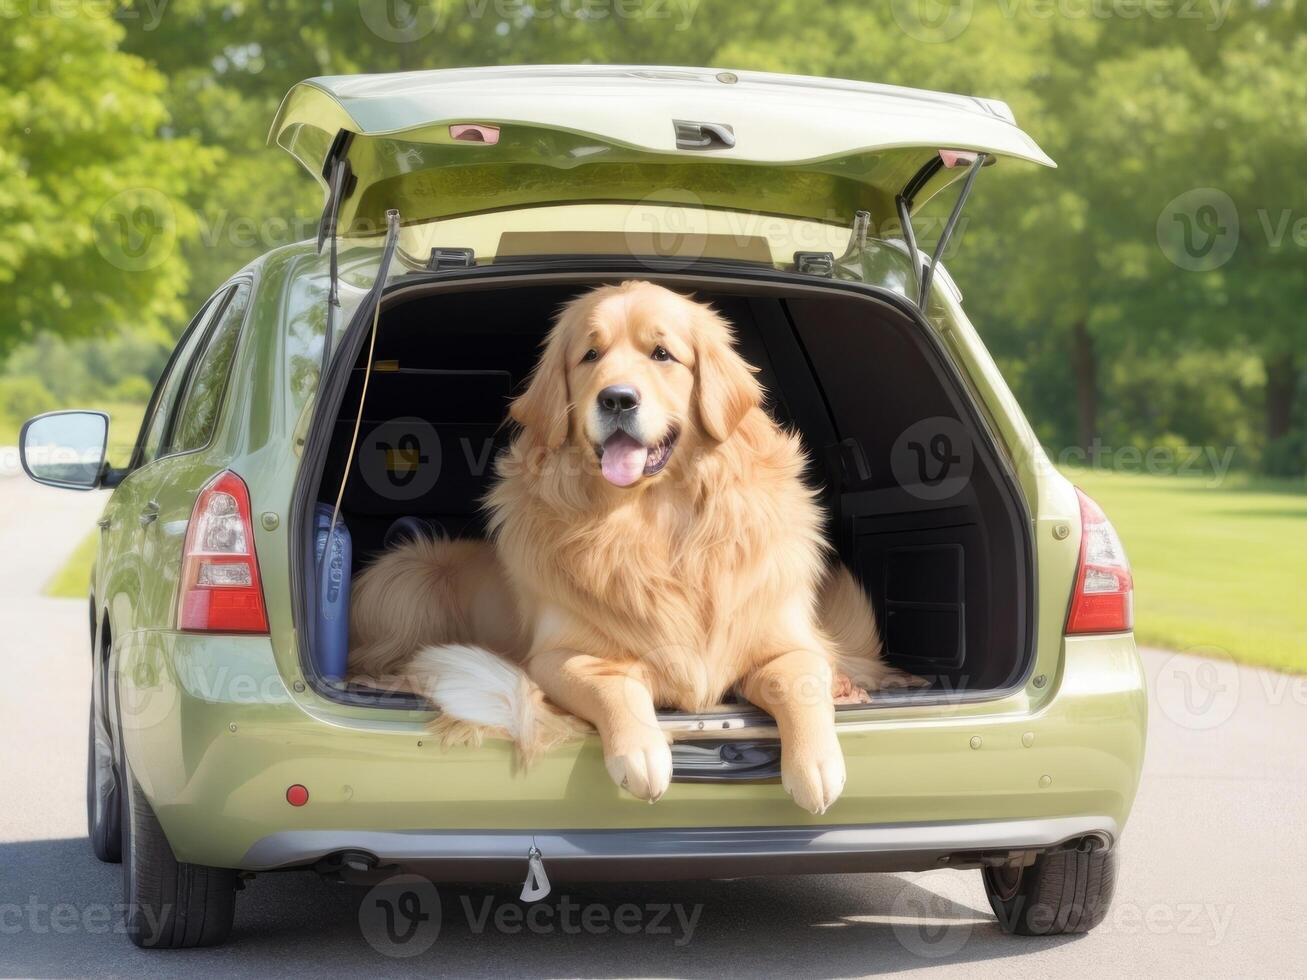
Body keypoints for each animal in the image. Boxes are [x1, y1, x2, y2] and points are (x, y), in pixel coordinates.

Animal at [347, 278, 904, 815]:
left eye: (662, 354)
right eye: (589, 355)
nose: (617, 398)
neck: (654, 521)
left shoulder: (787, 641)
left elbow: (801, 678)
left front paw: (816, 764)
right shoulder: (557, 657)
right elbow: (612, 684)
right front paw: (641, 751)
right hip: (408, 574)